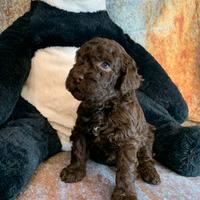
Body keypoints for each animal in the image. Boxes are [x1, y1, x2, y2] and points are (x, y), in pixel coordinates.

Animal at [60, 37, 160, 200]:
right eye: (78, 59)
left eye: (105, 65)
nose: (76, 76)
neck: (104, 106)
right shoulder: (81, 128)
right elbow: (78, 150)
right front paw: (74, 171)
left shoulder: (127, 140)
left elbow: (126, 169)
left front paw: (125, 193)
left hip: (147, 133)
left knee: (146, 157)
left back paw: (150, 173)